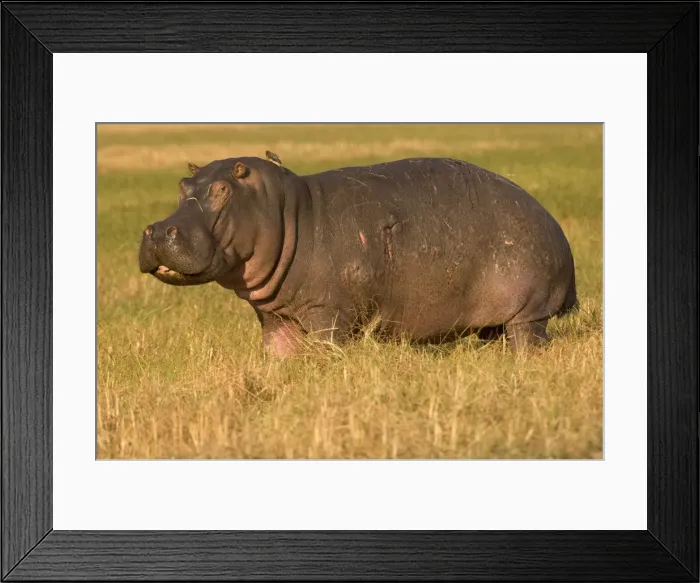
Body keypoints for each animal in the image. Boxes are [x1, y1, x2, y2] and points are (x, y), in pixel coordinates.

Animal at [138, 155, 577, 356]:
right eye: (182, 185)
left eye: (222, 190)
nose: (157, 230)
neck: (287, 212)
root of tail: (550, 220)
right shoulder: (275, 317)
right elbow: (278, 354)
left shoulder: (330, 313)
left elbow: (327, 351)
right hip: (492, 321)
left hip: (529, 312)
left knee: (528, 342)